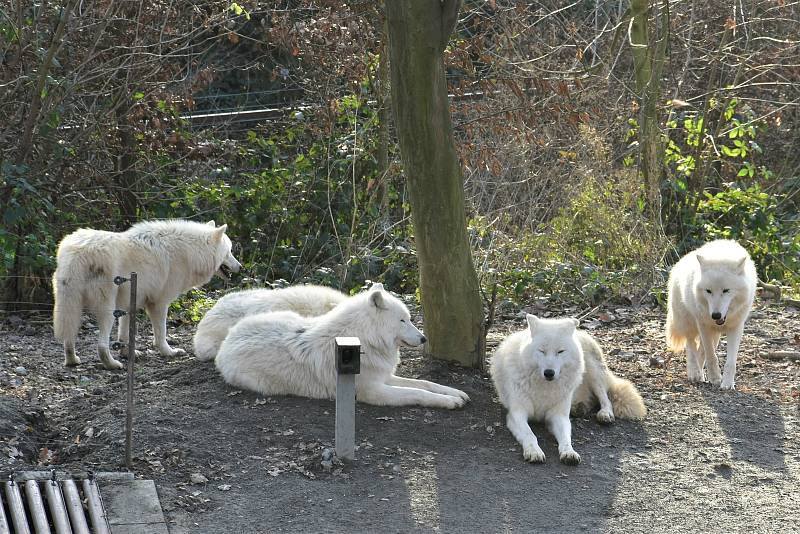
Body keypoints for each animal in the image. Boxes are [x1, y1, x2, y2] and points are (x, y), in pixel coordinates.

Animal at [52, 220, 241, 370]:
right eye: (229, 252)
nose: (240, 267)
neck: (191, 252)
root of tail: (76, 252)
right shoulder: (159, 303)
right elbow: (161, 334)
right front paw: (169, 352)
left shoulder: (129, 302)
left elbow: (124, 334)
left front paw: (127, 353)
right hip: (106, 309)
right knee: (101, 346)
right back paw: (111, 364)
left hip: (71, 307)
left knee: (68, 338)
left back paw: (72, 360)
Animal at [216, 284, 472, 410]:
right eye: (402, 320)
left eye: (409, 319)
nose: (423, 339)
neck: (366, 340)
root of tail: (228, 338)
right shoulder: (373, 391)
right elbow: (417, 392)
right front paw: (449, 402)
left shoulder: (385, 377)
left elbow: (425, 383)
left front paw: (455, 393)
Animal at [490, 316, 648, 466]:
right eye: (541, 351)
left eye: (560, 351)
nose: (549, 373)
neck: (544, 388)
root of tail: (580, 332)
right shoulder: (516, 414)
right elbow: (530, 435)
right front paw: (534, 452)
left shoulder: (559, 416)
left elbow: (566, 437)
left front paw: (569, 453)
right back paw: (579, 408)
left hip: (593, 371)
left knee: (605, 398)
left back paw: (604, 414)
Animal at [668, 241, 756, 392]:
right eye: (708, 291)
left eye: (726, 290)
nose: (715, 315)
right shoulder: (703, 325)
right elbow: (711, 356)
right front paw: (715, 378)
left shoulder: (736, 327)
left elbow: (730, 361)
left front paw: (727, 383)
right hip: (688, 322)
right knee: (690, 345)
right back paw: (694, 373)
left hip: (714, 334)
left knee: (700, 351)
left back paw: (700, 374)